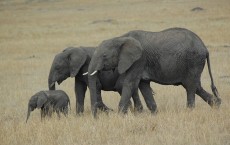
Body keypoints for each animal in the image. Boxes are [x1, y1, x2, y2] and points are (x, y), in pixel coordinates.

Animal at [87, 26, 221, 116]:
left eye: (104, 56)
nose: (95, 118)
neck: (121, 38)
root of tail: (205, 48)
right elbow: (143, 85)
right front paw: (154, 115)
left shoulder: (139, 60)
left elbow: (130, 83)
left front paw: (120, 116)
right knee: (196, 86)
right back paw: (217, 105)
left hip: (194, 61)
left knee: (190, 86)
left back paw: (190, 111)